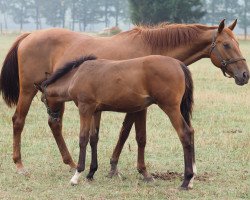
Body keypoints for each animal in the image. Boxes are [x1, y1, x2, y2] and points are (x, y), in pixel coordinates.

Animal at [36, 54, 194, 189]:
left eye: (43, 100)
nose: (54, 118)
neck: (77, 75)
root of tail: (179, 64)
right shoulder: (95, 111)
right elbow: (93, 138)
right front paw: (91, 173)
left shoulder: (85, 108)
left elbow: (83, 138)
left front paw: (77, 175)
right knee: (191, 132)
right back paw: (191, 179)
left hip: (170, 107)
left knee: (185, 133)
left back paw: (186, 181)